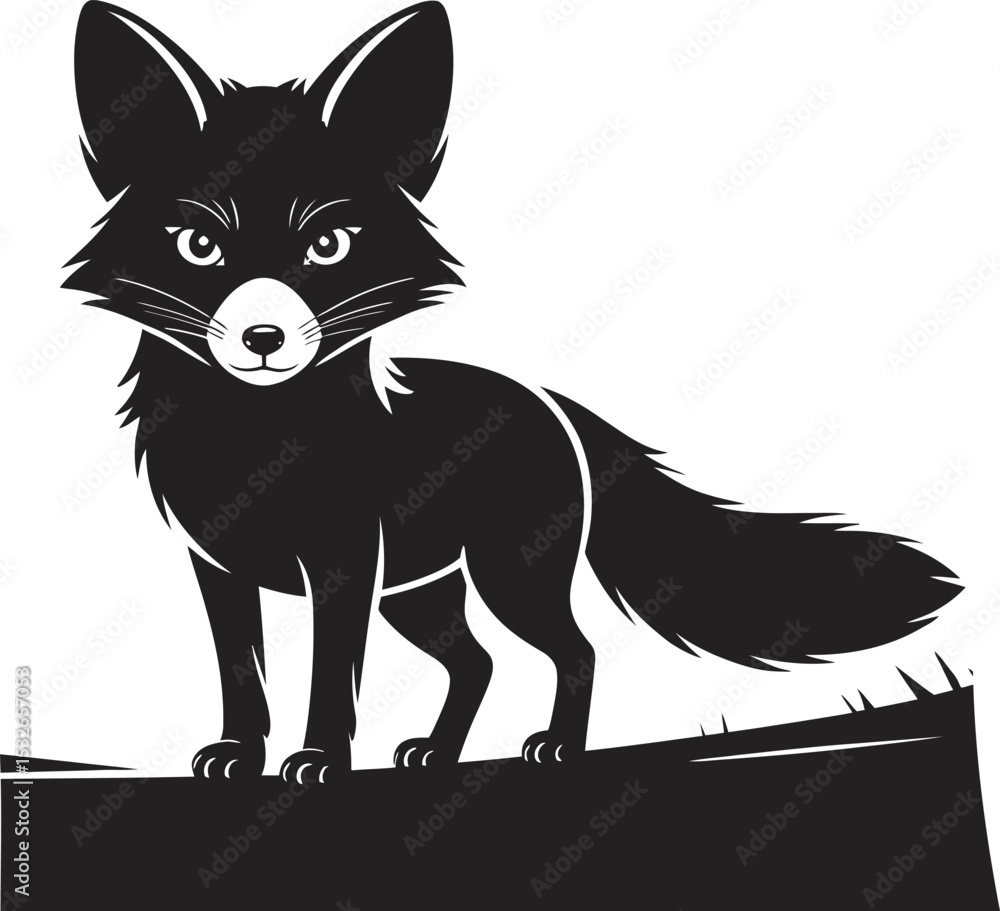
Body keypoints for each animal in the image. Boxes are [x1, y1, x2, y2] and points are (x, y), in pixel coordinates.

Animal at [66, 1, 962, 783]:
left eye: (328, 245)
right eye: (198, 245)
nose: (262, 339)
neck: (253, 437)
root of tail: (549, 401)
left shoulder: (344, 565)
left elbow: (330, 679)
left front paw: (319, 761)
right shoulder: (217, 565)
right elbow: (240, 674)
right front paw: (238, 753)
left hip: (507, 578)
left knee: (575, 650)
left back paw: (555, 747)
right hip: (423, 593)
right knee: (478, 661)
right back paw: (437, 750)